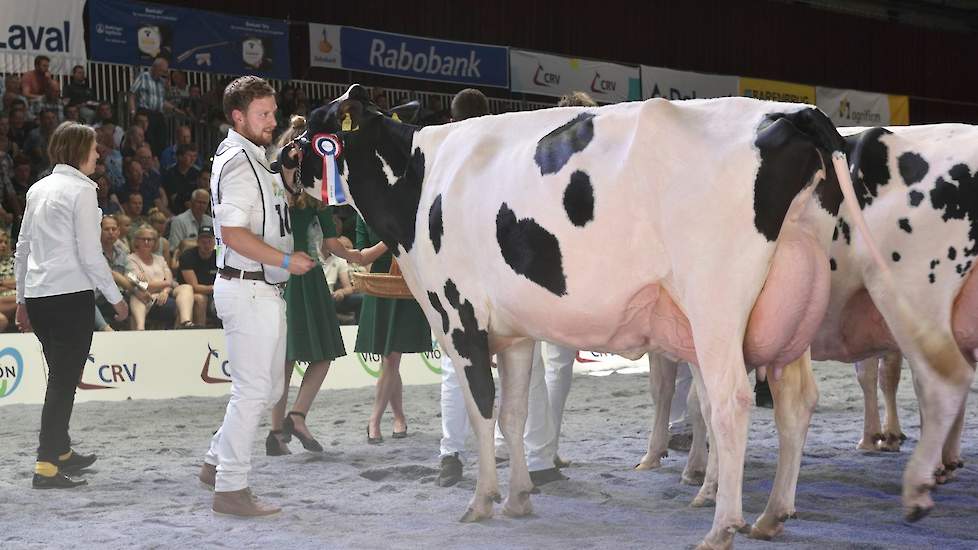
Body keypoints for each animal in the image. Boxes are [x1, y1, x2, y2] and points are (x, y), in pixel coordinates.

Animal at [292, 84, 936, 548]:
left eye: (310, 132)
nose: (280, 160)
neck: (422, 178)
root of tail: (792, 112)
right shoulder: (514, 332)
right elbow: (515, 413)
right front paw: (519, 498)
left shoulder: (458, 318)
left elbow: (482, 412)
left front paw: (481, 501)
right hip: (789, 306)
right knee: (796, 401)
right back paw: (772, 514)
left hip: (716, 304)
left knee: (730, 401)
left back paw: (721, 527)